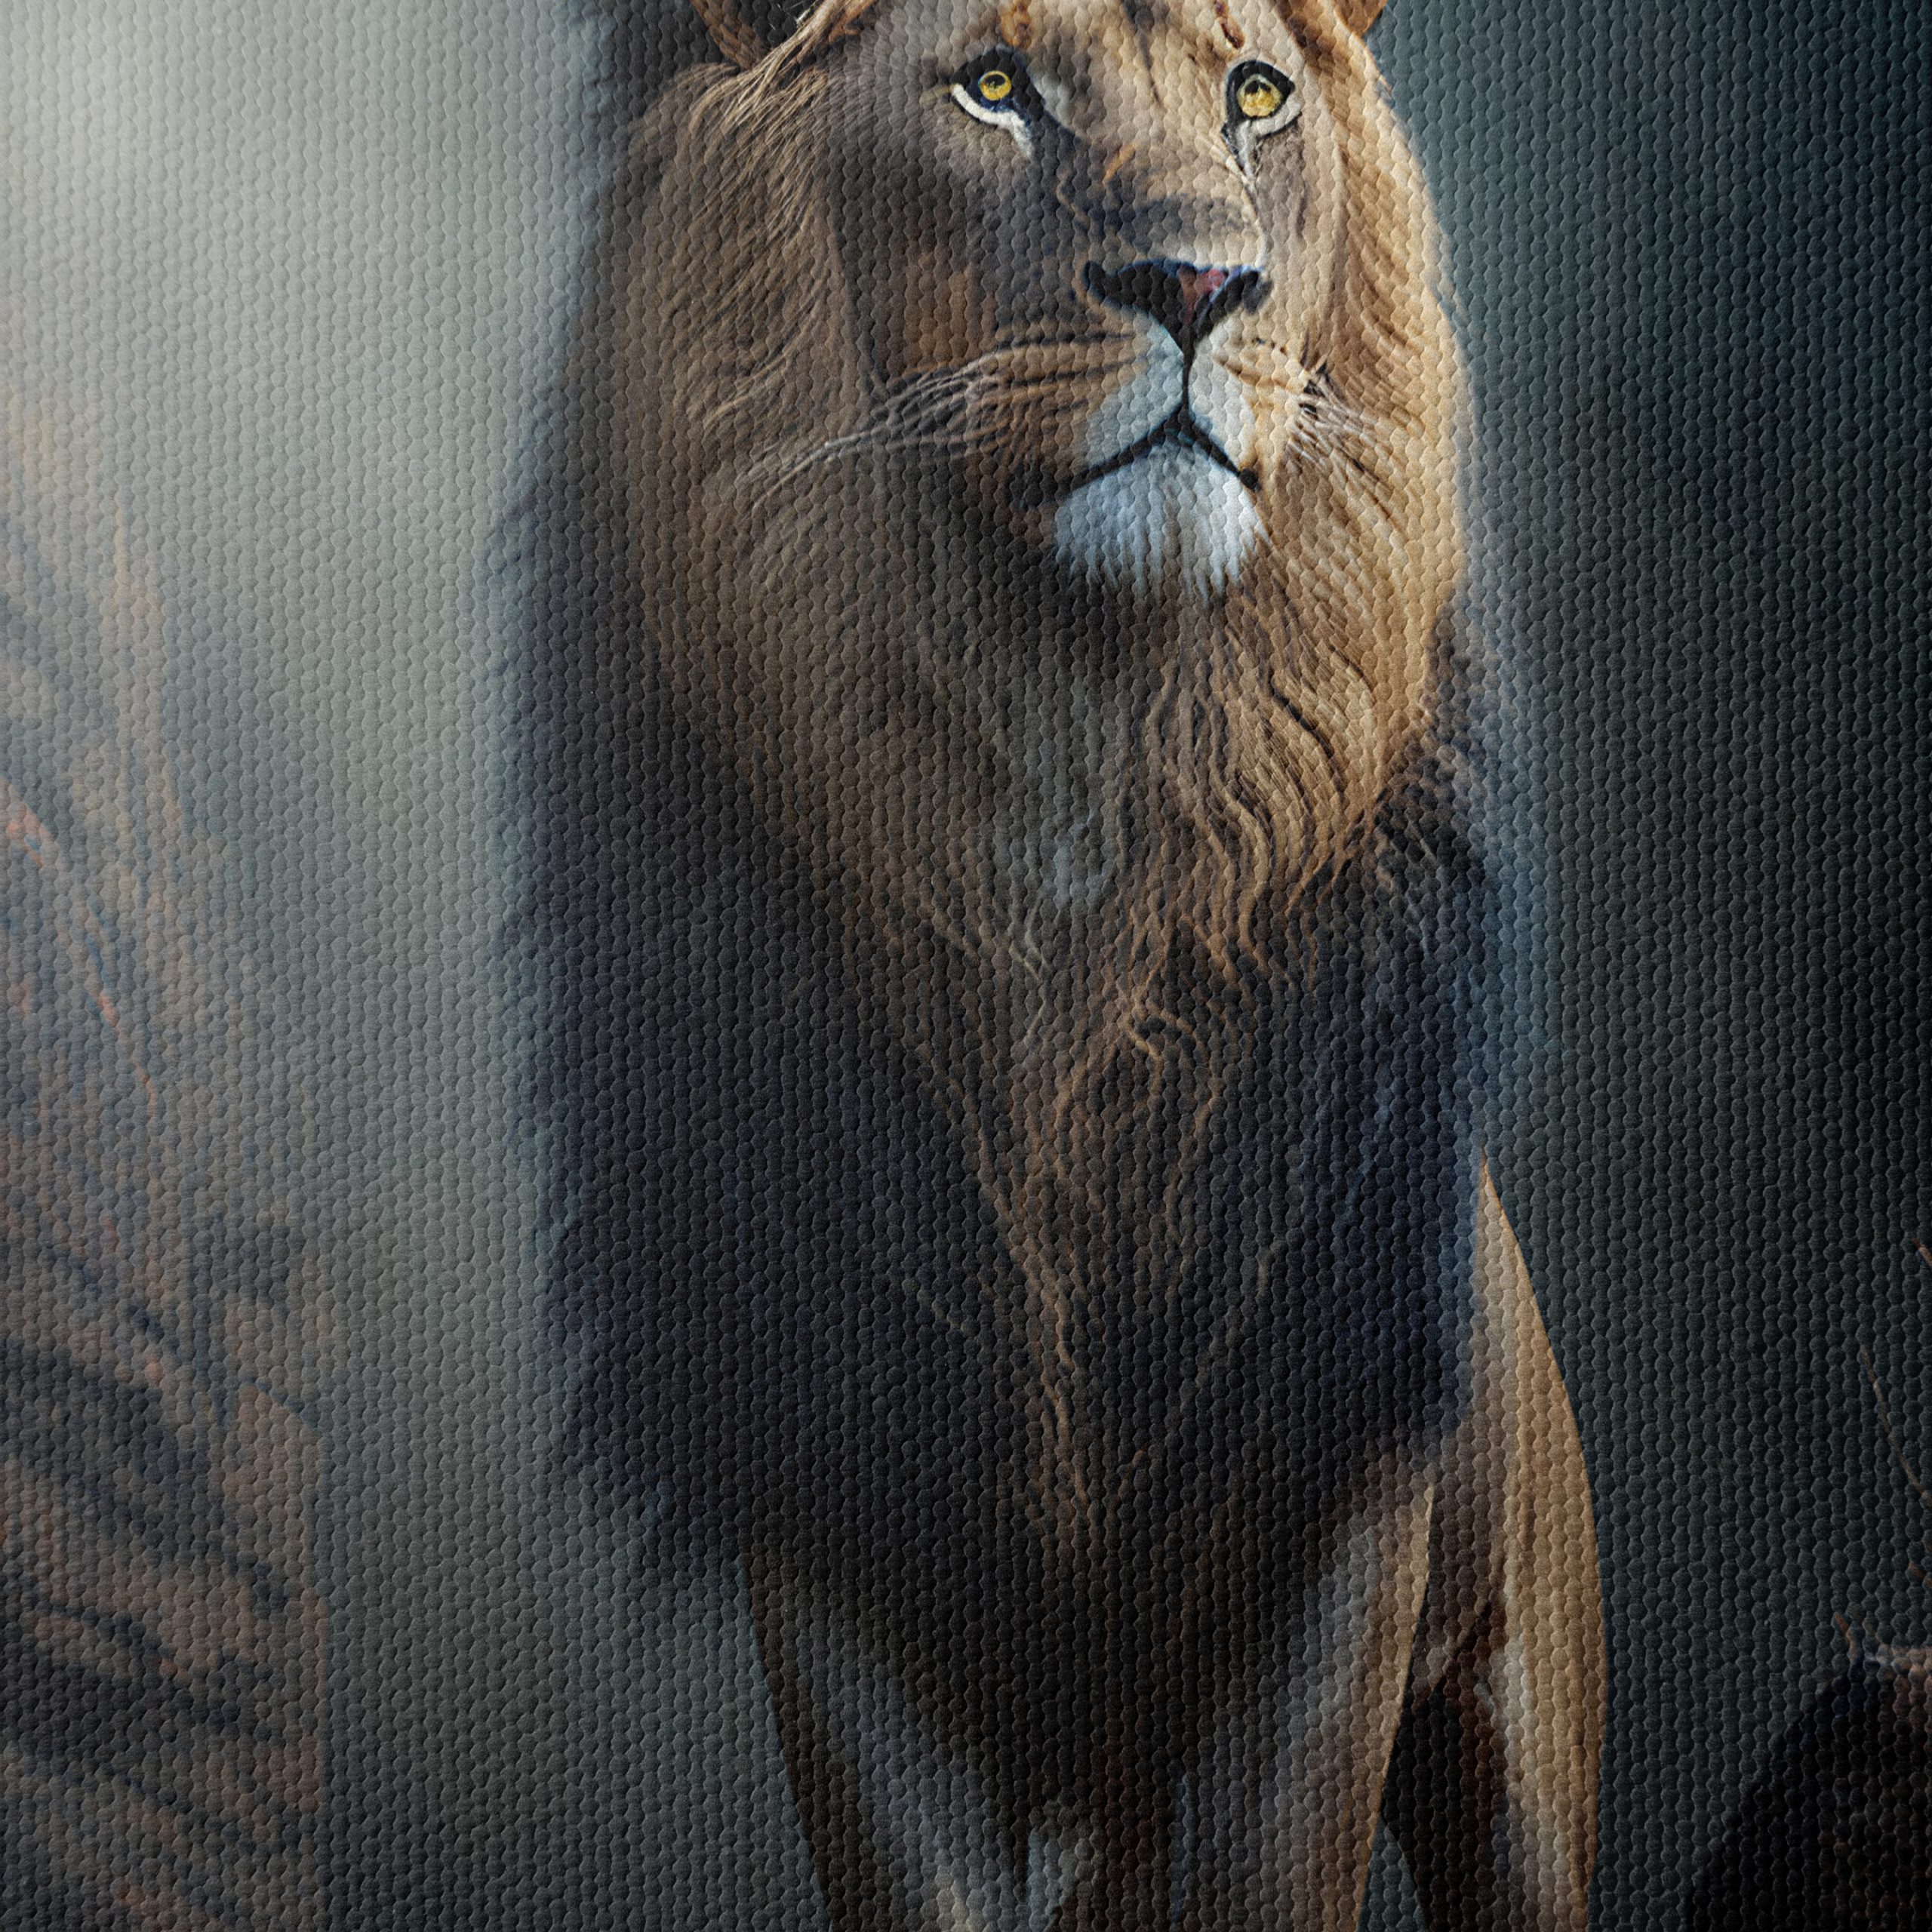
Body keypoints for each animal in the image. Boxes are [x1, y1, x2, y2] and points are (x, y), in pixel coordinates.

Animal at [523, 0, 1606, 1924]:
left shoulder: (1327, 1518)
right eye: (992, 87)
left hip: (1517, 1710)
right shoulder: (845, 1506)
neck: (1074, 741)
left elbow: (1282, 1870)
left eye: (1252, 95)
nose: (1200, 283)